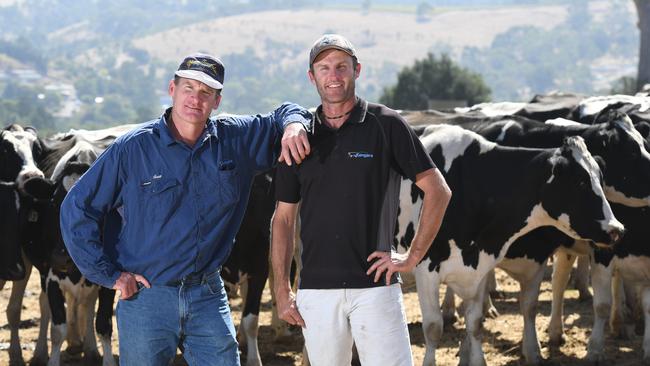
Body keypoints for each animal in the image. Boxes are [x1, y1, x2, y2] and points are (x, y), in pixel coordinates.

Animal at [392, 125, 620, 366]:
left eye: (600, 179)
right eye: (581, 181)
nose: (617, 229)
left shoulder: (480, 268)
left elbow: (475, 323)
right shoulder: (426, 270)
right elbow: (433, 328)